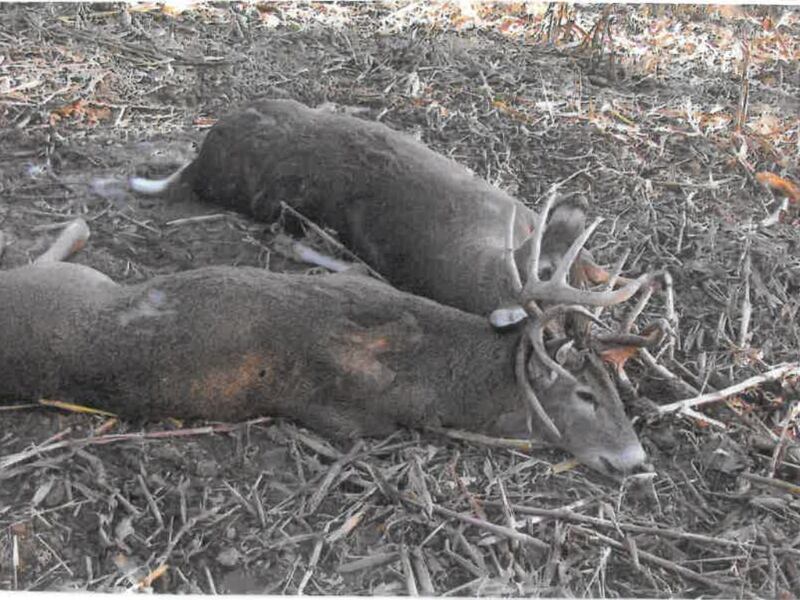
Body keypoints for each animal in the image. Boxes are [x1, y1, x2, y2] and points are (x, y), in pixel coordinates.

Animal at [0, 204, 656, 479]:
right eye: (585, 395)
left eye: (614, 389)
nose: (635, 460)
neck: (446, 371)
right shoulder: (351, 414)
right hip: (76, 284)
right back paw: (79, 226)